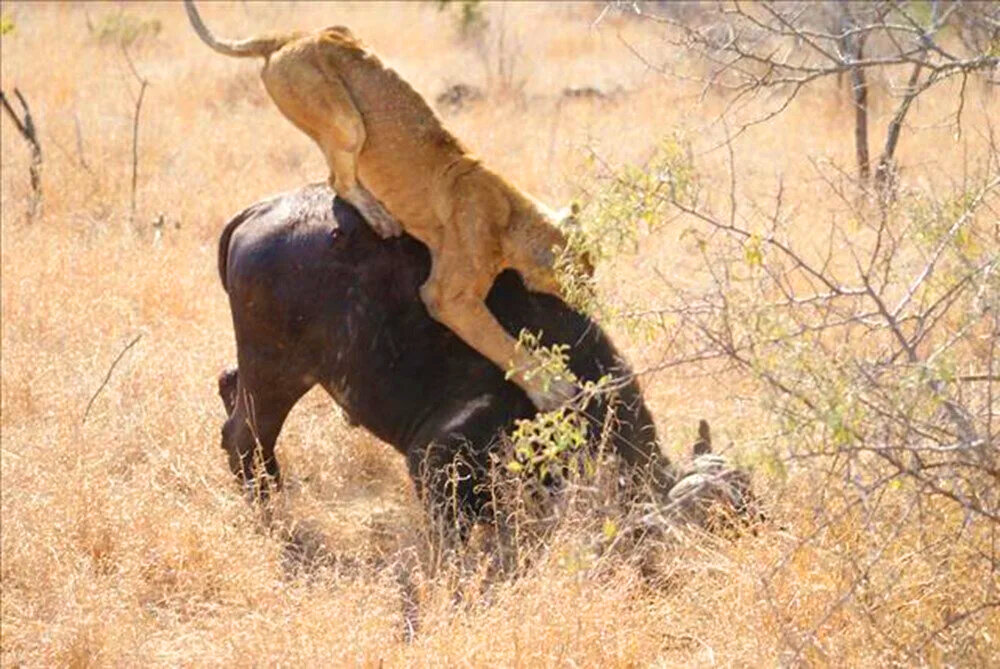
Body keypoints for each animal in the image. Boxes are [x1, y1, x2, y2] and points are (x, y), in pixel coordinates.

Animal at [182, 0, 584, 410]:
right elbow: (500, 343)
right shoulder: (447, 296)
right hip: (343, 118)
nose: (588, 301)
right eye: (583, 273)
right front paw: (553, 389)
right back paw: (380, 217)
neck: (513, 215)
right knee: (338, 178)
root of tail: (290, 37)